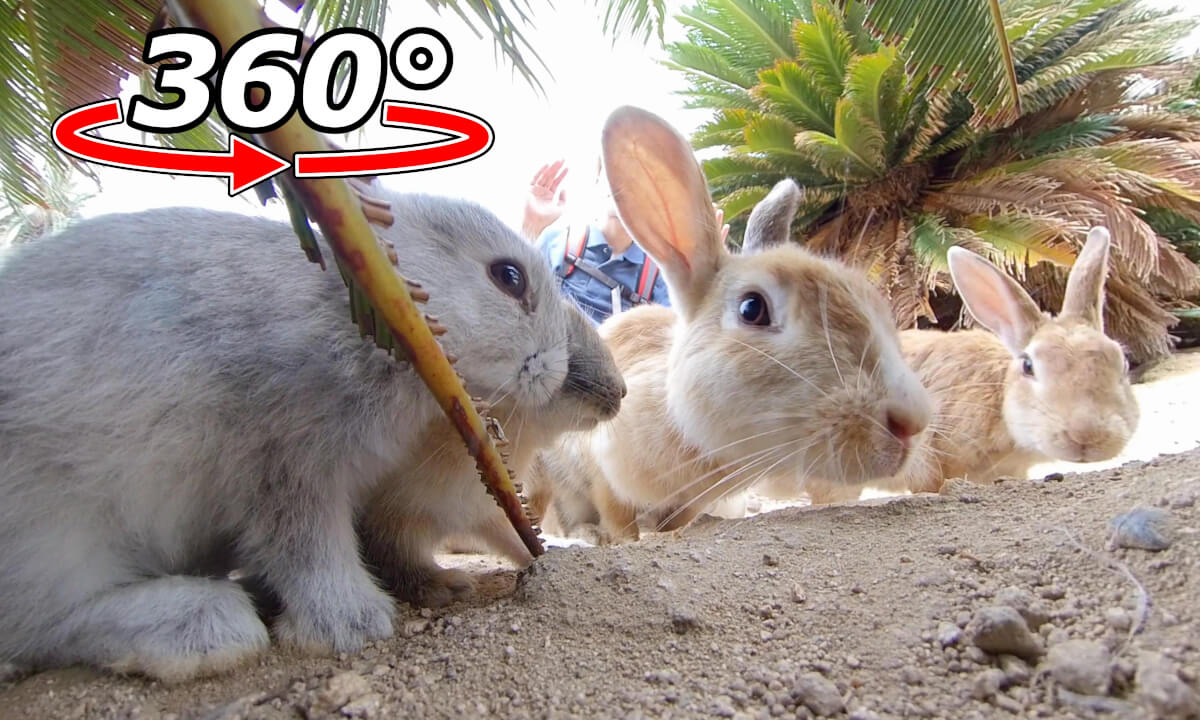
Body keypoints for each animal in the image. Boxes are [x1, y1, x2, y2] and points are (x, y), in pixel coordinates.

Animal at [0, 187, 612, 682]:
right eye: (508, 278)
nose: (567, 372)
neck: (373, 321)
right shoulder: (288, 462)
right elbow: (309, 547)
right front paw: (354, 624)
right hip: (54, 531)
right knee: (45, 624)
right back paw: (203, 627)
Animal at [524, 106, 933, 544]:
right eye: (752, 308)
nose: (913, 422)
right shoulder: (603, 469)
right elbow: (619, 519)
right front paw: (622, 539)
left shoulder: (690, 500)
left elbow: (676, 522)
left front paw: (666, 534)